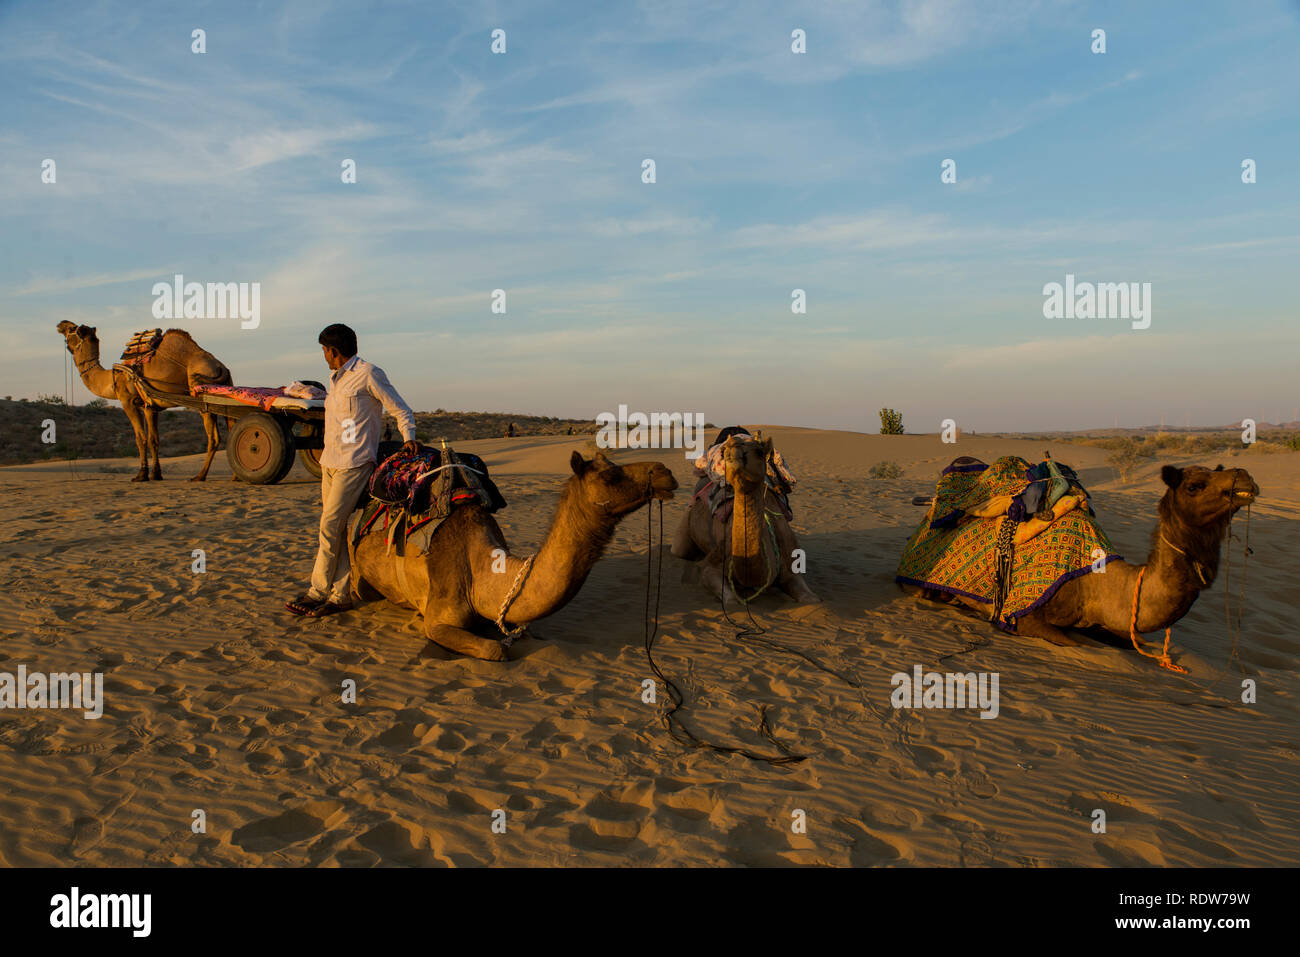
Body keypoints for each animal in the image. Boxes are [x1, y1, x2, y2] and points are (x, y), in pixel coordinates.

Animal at [57, 321, 232, 481]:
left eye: (72, 328)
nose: (60, 324)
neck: (112, 379)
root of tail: (221, 367)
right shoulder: (150, 407)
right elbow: (154, 440)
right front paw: (156, 474)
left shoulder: (128, 402)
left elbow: (140, 438)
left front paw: (141, 475)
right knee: (230, 427)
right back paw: (233, 476)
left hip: (203, 397)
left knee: (214, 438)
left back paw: (200, 476)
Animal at [676, 434, 816, 605]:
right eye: (724, 451)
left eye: (759, 452)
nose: (733, 453)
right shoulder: (712, 564)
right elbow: (730, 600)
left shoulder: (792, 564)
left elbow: (811, 600)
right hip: (687, 518)